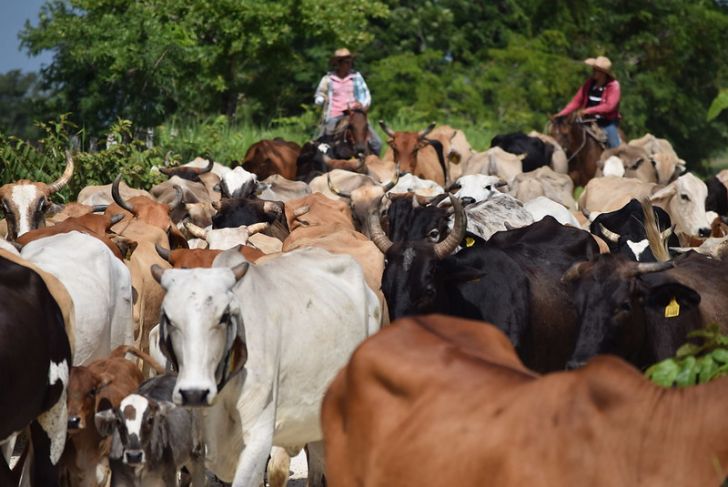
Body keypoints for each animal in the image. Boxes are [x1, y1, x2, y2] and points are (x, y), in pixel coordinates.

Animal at [58, 346, 165, 487]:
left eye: (92, 390)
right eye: (64, 391)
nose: (72, 420)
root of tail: (115, 357)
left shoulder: (107, 470)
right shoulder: (74, 475)